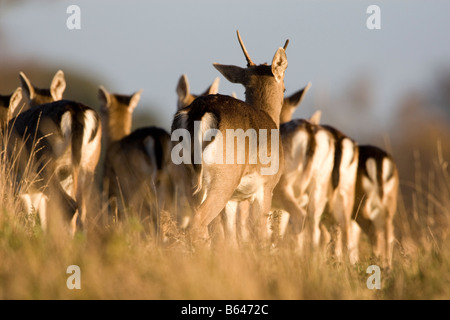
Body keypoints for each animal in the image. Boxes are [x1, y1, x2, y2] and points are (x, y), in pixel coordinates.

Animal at [5, 70, 101, 235]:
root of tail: (77, 112)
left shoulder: (17, 185)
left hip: (44, 164)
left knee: (70, 206)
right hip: (87, 166)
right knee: (81, 213)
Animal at [171, 30, 290, 245]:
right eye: (284, 88)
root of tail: (199, 110)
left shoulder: (234, 199)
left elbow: (232, 239)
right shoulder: (266, 188)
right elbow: (261, 234)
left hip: (187, 180)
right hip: (222, 182)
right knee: (198, 224)